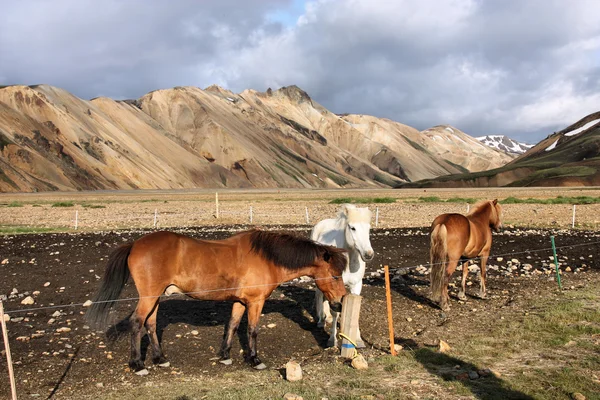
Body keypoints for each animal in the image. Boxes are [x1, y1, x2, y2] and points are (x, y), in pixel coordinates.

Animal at [85, 230, 346, 374]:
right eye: (335, 275)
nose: (340, 304)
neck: (266, 258)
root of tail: (135, 245)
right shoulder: (255, 302)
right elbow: (252, 330)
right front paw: (255, 359)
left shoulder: (240, 302)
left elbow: (232, 325)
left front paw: (225, 355)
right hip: (149, 297)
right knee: (137, 323)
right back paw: (138, 365)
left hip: (156, 298)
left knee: (150, 324)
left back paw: (160, 359)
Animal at [312, 203, 372, 346]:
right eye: (352, 228)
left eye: (369, 228)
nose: (368, 254)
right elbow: (335, 312)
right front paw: (332, 339)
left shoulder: (356, 285)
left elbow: (355, 310)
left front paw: (357, 338)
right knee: (319, 294)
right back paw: (321, 320)